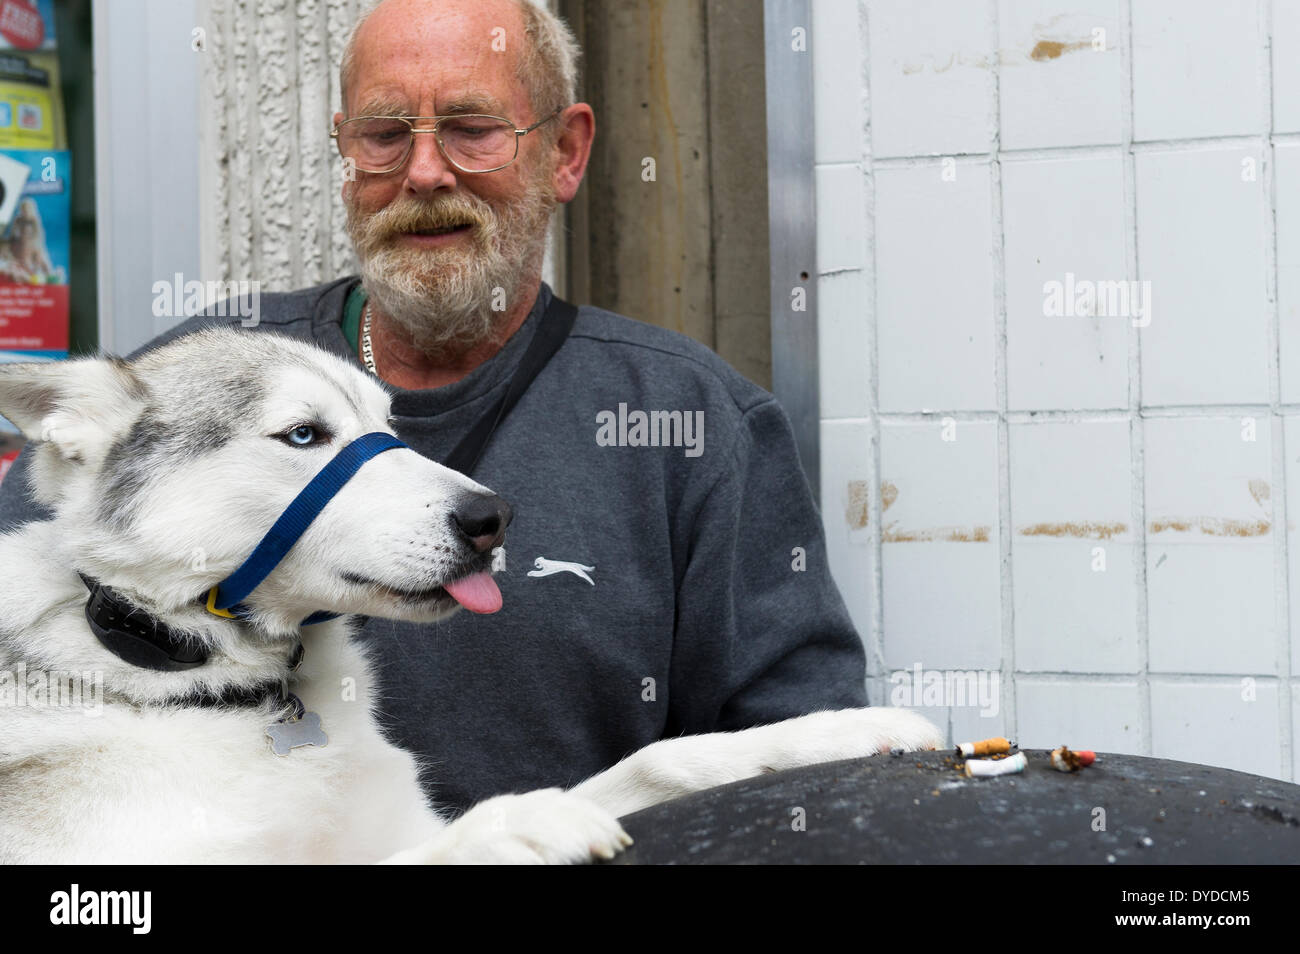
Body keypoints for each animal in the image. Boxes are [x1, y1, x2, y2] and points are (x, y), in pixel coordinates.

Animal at [0, 330, 941, 868]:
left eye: (389, 426)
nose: (493, 517)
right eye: (304, 434)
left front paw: (841, 733)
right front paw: (508, 825)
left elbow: (666, 759)